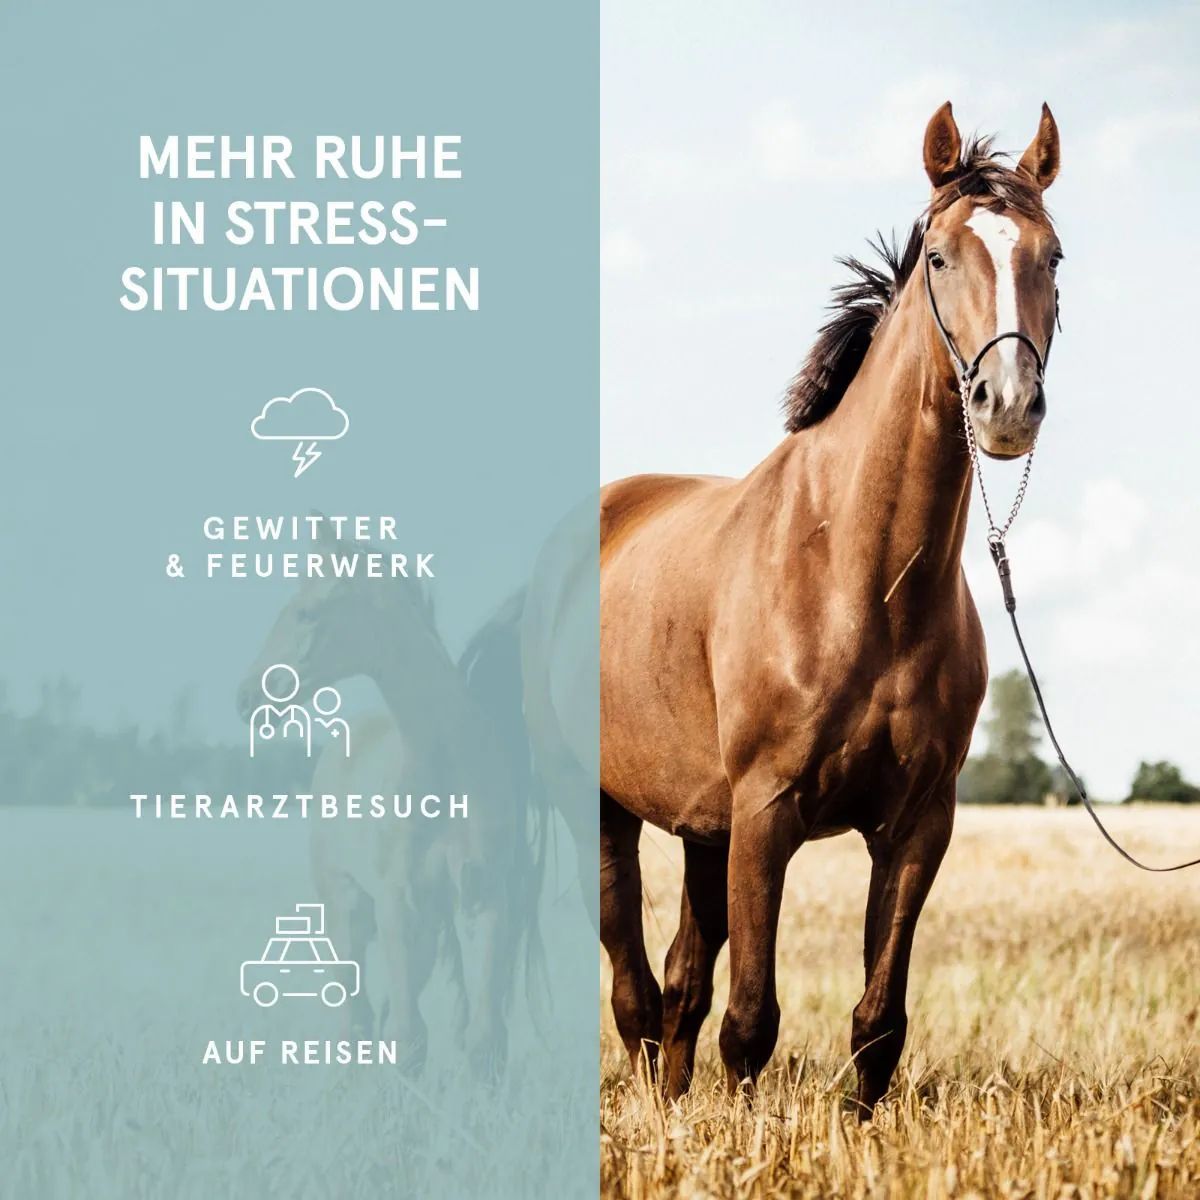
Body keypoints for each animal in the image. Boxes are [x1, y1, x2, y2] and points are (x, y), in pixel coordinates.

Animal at [237, 526, 543, 1078]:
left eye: (306, 613)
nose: (245, 697)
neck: (442, 770)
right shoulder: (398, 902)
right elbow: (407, 1038)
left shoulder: (481, 898)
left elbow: (483, 1038)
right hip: (347, 911)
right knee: (356, 1018)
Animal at [528, 101, 1063, 1113]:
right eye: (941, 257)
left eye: (1051, 257)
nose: (1007, 404)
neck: (860, 574)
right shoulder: (768, 811)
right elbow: (751, 1021)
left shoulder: (918, 824)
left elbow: (876, 1023)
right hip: (614, 812)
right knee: (635, 987)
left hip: (705, 826)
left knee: (679, 980)